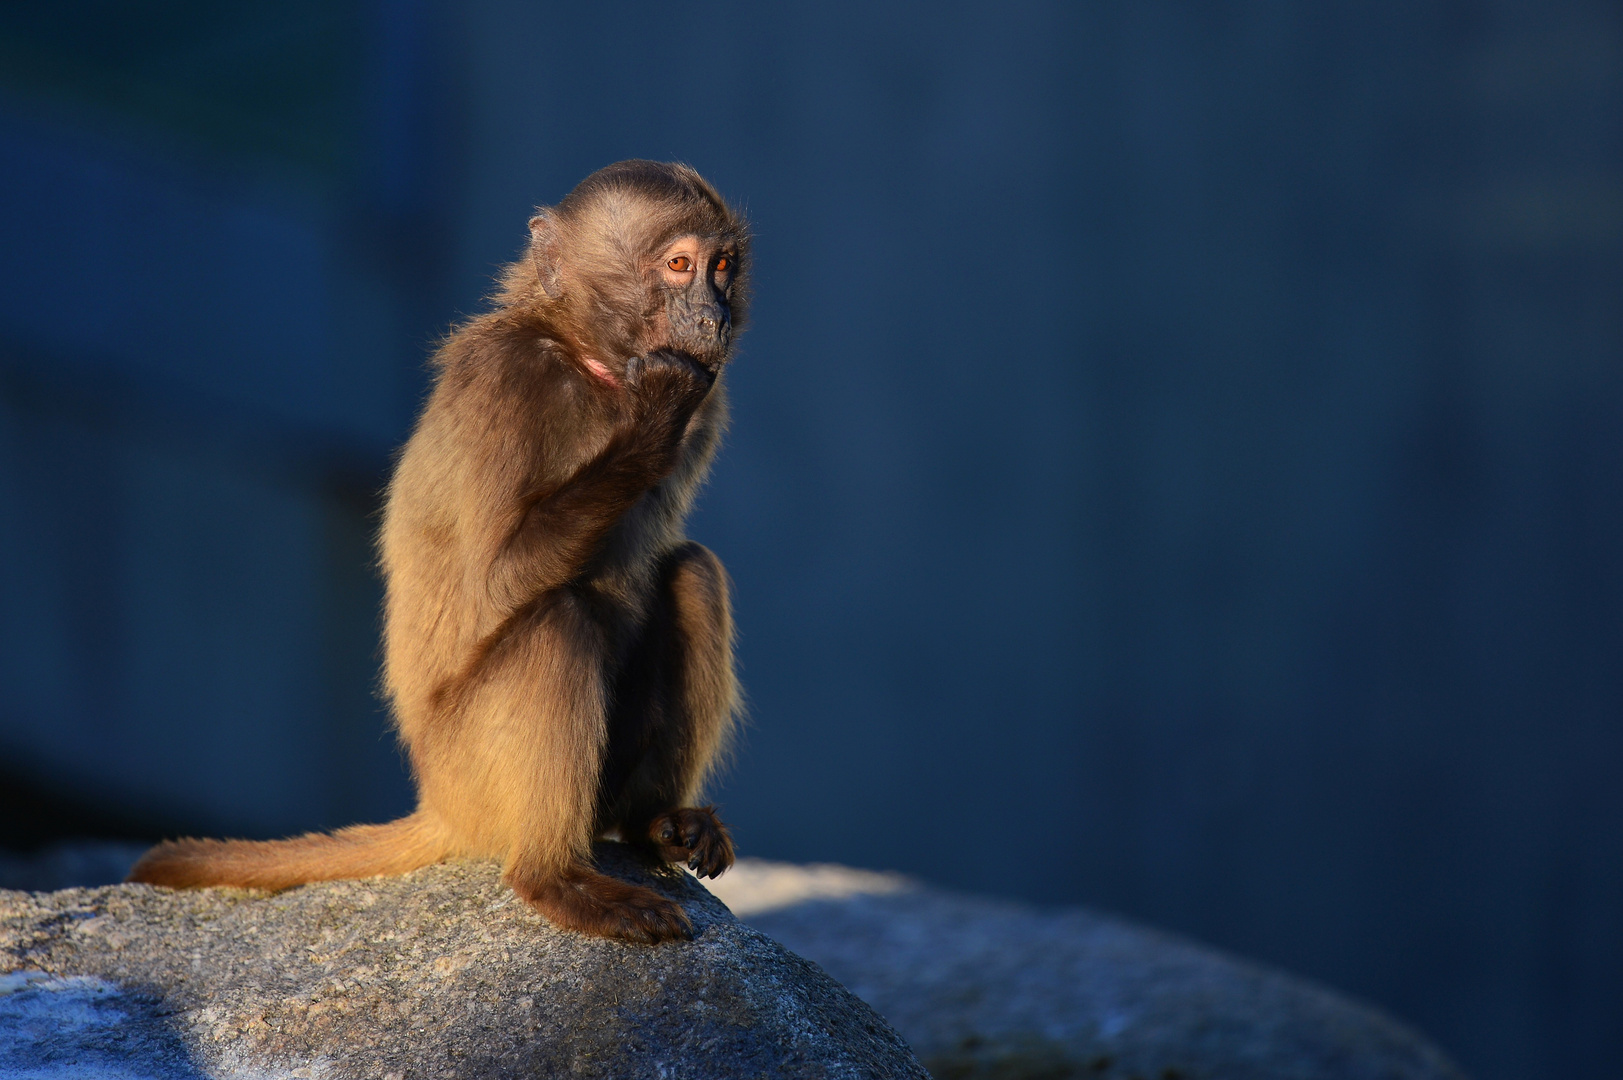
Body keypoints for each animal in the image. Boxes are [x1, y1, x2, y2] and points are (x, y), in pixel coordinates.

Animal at [126, 162, 746, 941]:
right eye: (678, 265)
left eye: (722, 266)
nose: (714, 315)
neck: (588, 357)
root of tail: (440, 807)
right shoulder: (508, 382)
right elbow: (498, 578)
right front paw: (652, 414)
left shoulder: (706, 402)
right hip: (473, 775)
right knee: (556, 622)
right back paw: (552, 878)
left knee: (694, 576)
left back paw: (650, 823)